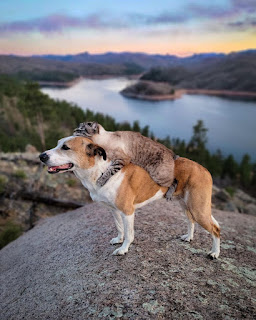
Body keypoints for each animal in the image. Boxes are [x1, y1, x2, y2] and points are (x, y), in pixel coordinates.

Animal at [39, 135, 220, 258]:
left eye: (65, 147)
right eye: (58, 144)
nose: (41, 156)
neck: (100, 171)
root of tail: (205, 169)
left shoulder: (128, 212)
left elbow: (129, 234)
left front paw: (123, 249)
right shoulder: (114, 210)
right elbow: (120, 228)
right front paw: (119, 240)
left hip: (198, 208)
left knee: (216, 229)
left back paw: (214, 253)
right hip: (186, 205)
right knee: (191, 221)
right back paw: (189, 237)